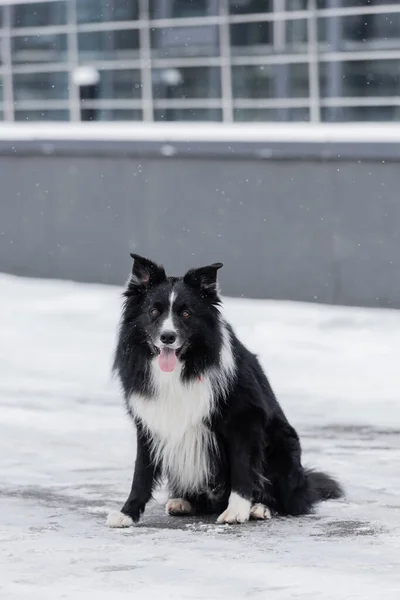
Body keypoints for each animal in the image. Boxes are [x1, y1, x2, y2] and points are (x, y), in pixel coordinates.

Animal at [107, 255, 344, 528]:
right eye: (154, 312)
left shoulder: (245, 418)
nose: (167, 337)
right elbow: (141, 473)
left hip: (282, 444)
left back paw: (261, 507)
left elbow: (242, 467)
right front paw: (127, 513)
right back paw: (183, 501)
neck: (184, 367)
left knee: (287, 501)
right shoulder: (149, 421)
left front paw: (237, 511)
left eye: (186, 314)